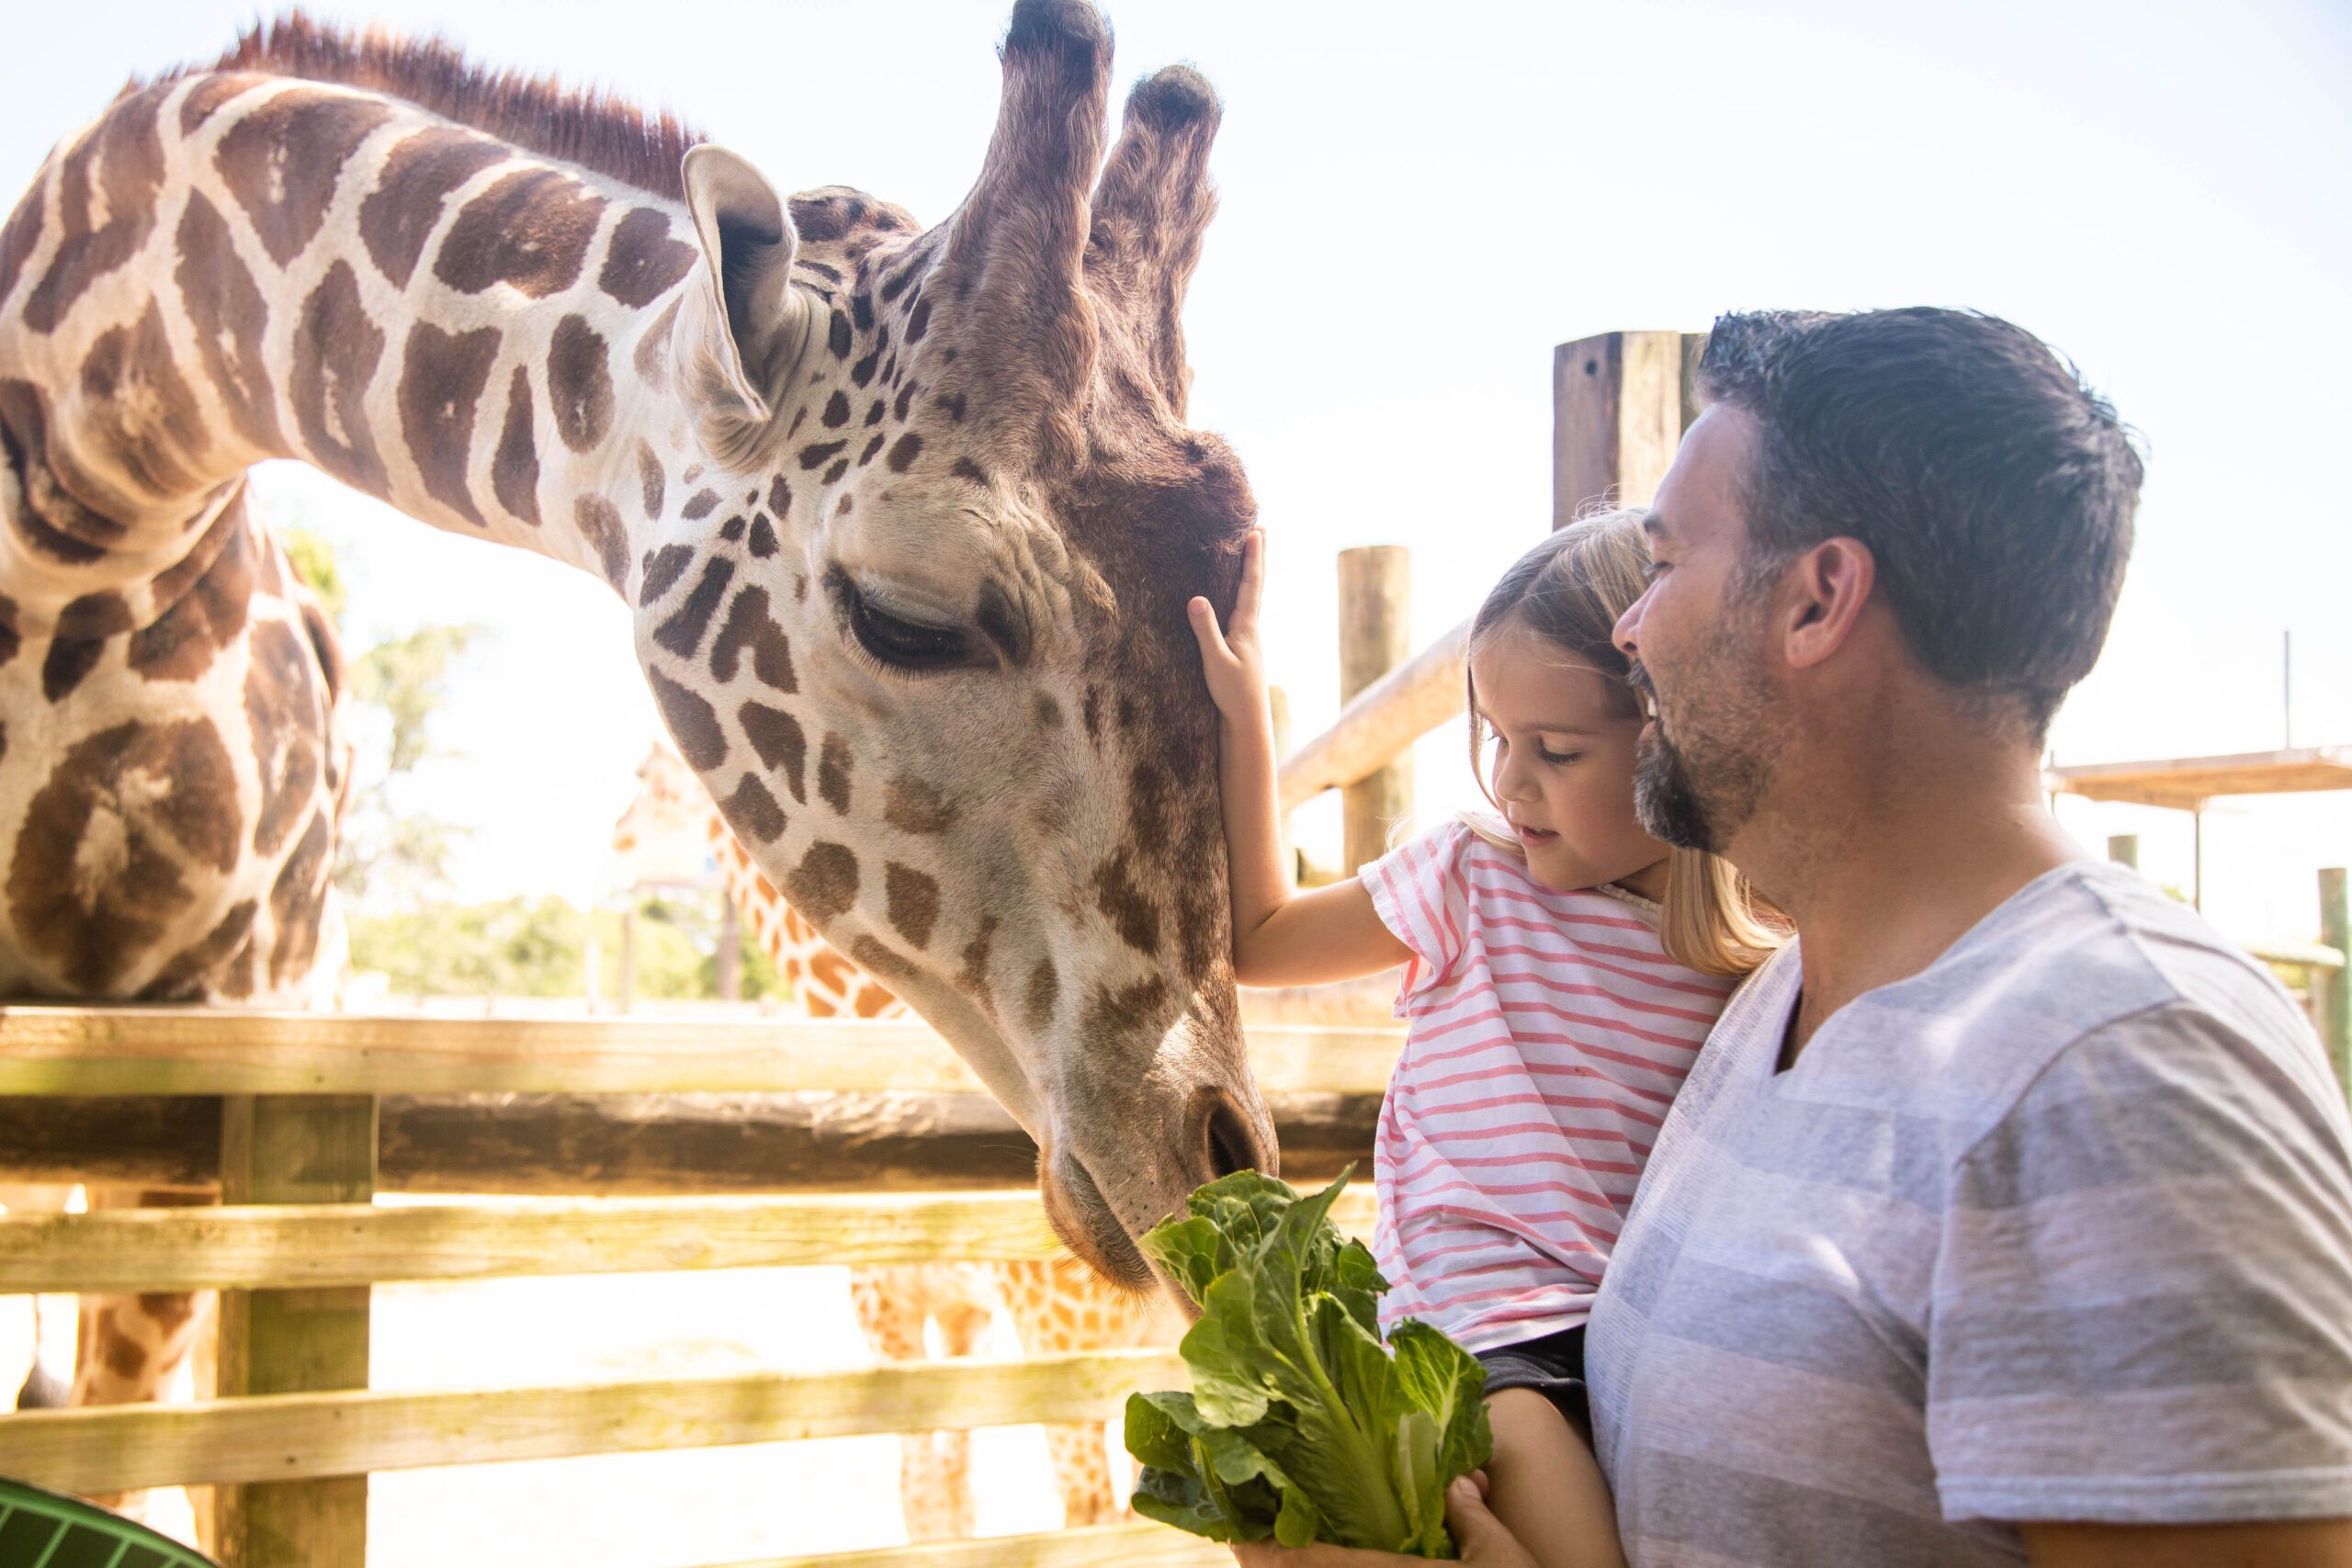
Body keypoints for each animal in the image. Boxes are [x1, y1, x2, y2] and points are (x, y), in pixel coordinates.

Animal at [611, 742, 1170, 1541]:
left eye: (649, 781)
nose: (616, 836)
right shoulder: (960, 1312)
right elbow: (952, 1490)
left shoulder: (885, 1302)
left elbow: (922, 1490)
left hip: (1068, 1326)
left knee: (1091, 1507)